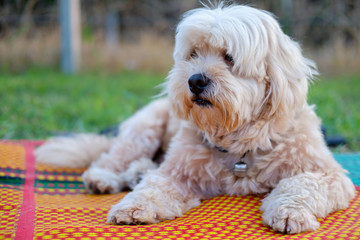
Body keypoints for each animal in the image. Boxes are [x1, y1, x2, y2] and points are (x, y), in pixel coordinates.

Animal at [35, 2, 356, 234]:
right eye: (193, 54)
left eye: (229, 57)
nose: (195, 81)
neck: (239, 142)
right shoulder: (177, 172)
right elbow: (154, 186)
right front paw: (134, 206)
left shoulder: (328, 175)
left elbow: (300, 186)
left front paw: (290, 211)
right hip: (144, 128)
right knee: (112, 159)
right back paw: (105, 178)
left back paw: (136, 172)